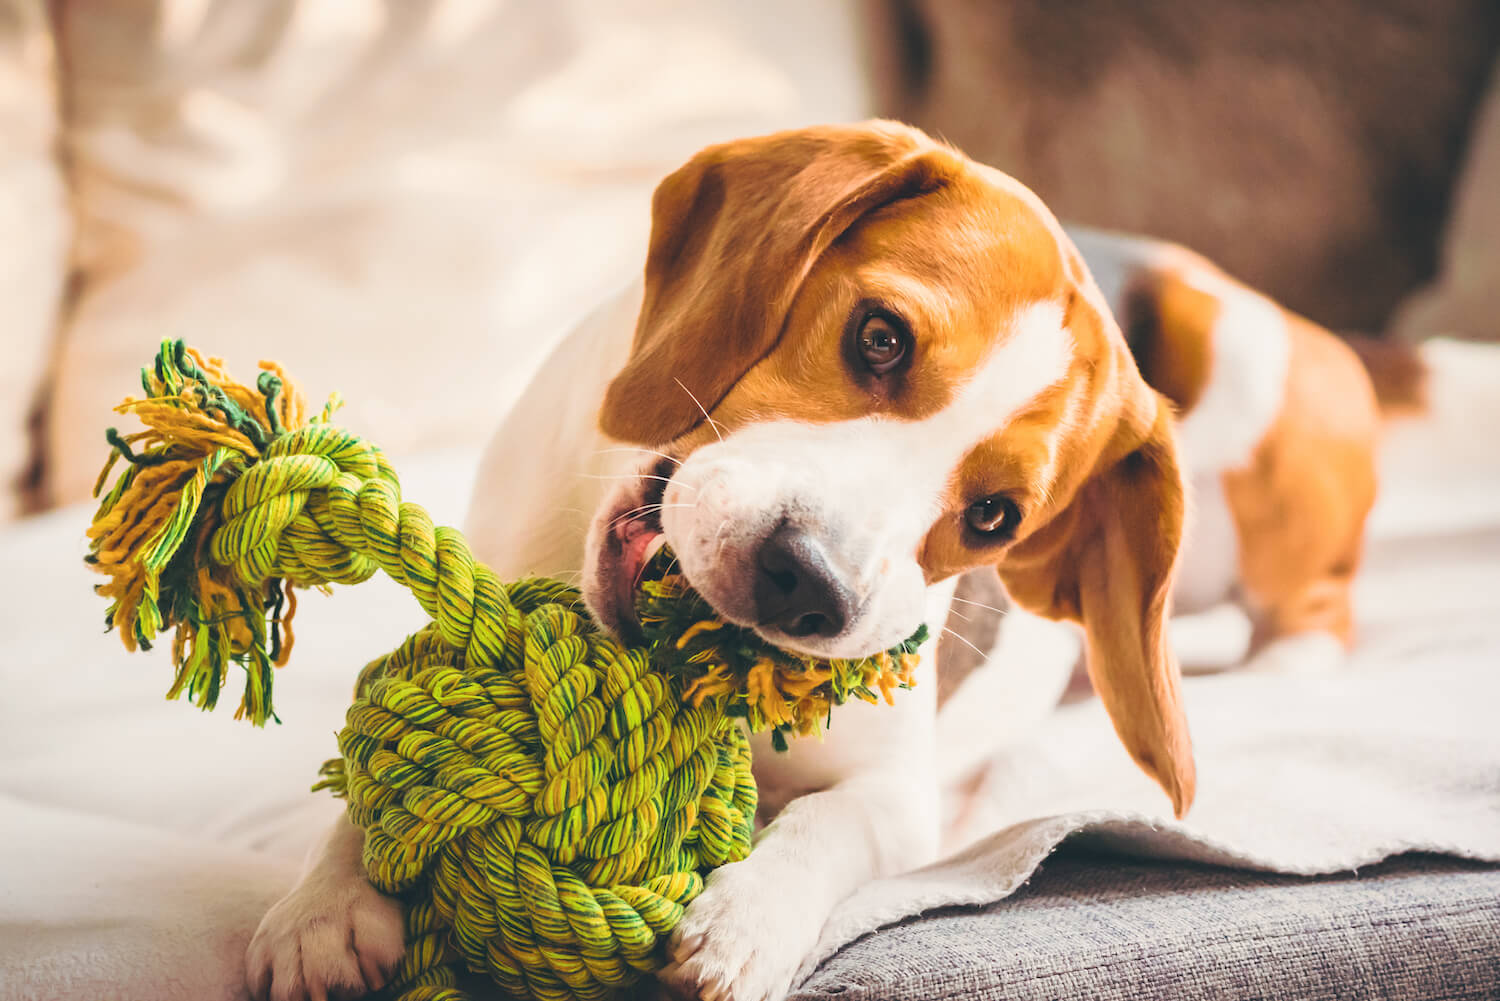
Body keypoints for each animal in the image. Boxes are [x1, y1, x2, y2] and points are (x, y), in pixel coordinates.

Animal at [246, 123, 1380, 1001]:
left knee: (1318, 606)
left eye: (994, 516)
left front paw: (749, 918)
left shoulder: (901, 797)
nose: (809, 585)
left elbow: (829, 826)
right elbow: (372, 772)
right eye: (880, 338)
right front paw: (325, 902)